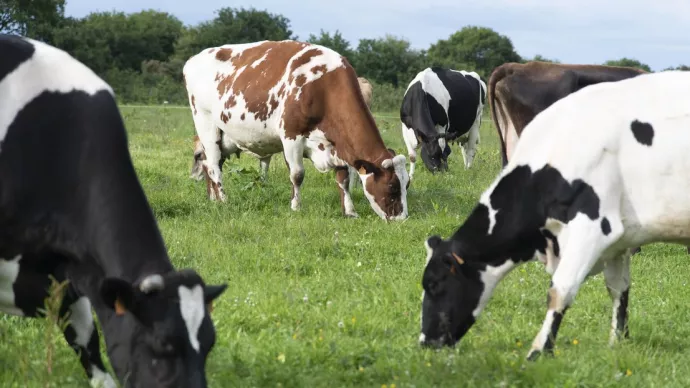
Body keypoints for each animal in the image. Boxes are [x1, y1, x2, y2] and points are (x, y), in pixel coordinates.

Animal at [184, 40, 408, 221]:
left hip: (224, 137)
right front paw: (296, 207)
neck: (324, 88)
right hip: (206, 126)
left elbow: (343, 179)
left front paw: (350, 211)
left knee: (207, 163)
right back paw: (223, 200)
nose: (402, 219)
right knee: (214, 165)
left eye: (407, 184)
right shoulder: (291, 137)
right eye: (392, 187)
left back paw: (212, 199)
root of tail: (194, 59)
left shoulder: (337, 144)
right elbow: (297, 175)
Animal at [416, 69, 688, 360]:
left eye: (434, 284)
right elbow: (618, 289)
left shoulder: (593, 228)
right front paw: (618, 341)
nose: (425, 341)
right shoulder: (620, 243)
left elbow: (560, 290)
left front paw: (539, 349)